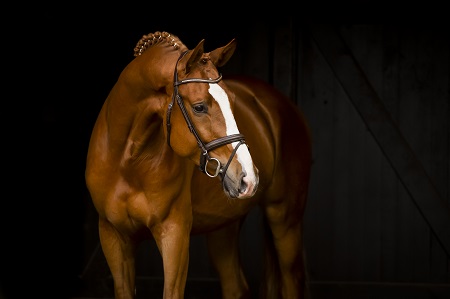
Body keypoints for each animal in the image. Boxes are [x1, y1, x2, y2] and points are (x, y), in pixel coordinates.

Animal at [84, 31, 312, 298]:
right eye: (199, 107)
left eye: (233, 102)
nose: (248, 178)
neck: (127, 163)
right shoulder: (113, 237)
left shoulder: (174, 234)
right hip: (223, 226)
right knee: (235, 286)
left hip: (285, 218)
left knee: (291, 281)